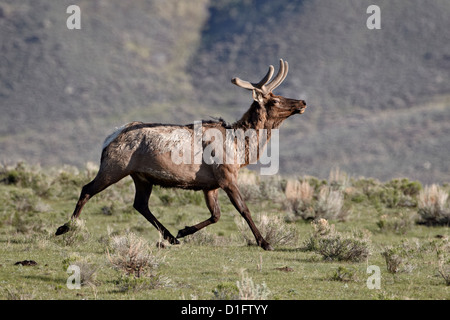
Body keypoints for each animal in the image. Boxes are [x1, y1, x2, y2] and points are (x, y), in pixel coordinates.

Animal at [55, 58, 306, 251]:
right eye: (275, 99)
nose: (302, 102)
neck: (241, 149)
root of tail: (108, 139)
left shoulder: (210, 185)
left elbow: (216, 215)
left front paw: (184, 230)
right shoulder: (226, 175)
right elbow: (243, 209)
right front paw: (265, 243)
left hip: (141, 177)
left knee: (140, 204)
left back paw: (171, 237)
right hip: (114, 166)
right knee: (87, 189)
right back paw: (65, 228)